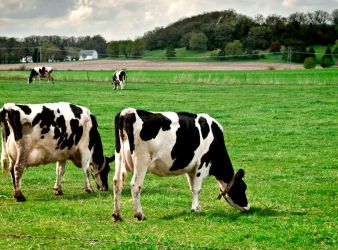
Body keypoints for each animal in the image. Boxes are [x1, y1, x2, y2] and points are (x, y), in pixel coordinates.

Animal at [112, 107, 250, 221]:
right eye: (243, 187)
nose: (248, 207)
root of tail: (128, 112)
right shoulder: (202, 163)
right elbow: (197, 188)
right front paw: (195, 209)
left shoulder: (190, 169)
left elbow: (192, 187)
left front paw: (197, 207)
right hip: (141, 160)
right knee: (135, 185)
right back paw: (140, 214)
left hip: (119, 156)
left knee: (117, 182)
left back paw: (117, 215)